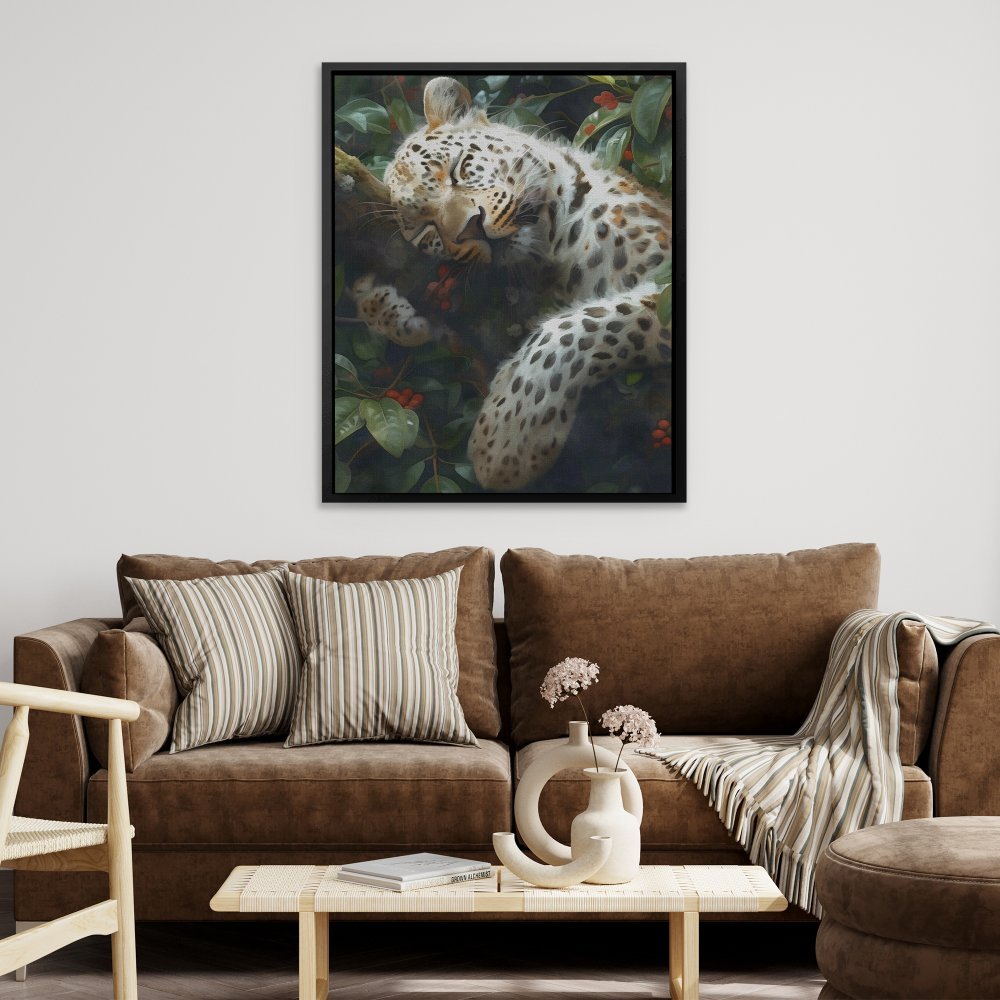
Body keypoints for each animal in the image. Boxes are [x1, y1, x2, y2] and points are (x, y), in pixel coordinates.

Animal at [355, 76, 673, 491]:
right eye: (426, 229)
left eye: (458, 169)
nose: (471, 228)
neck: (555, 251)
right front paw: (384, 304)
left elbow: (588, 323)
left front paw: (507, 440)